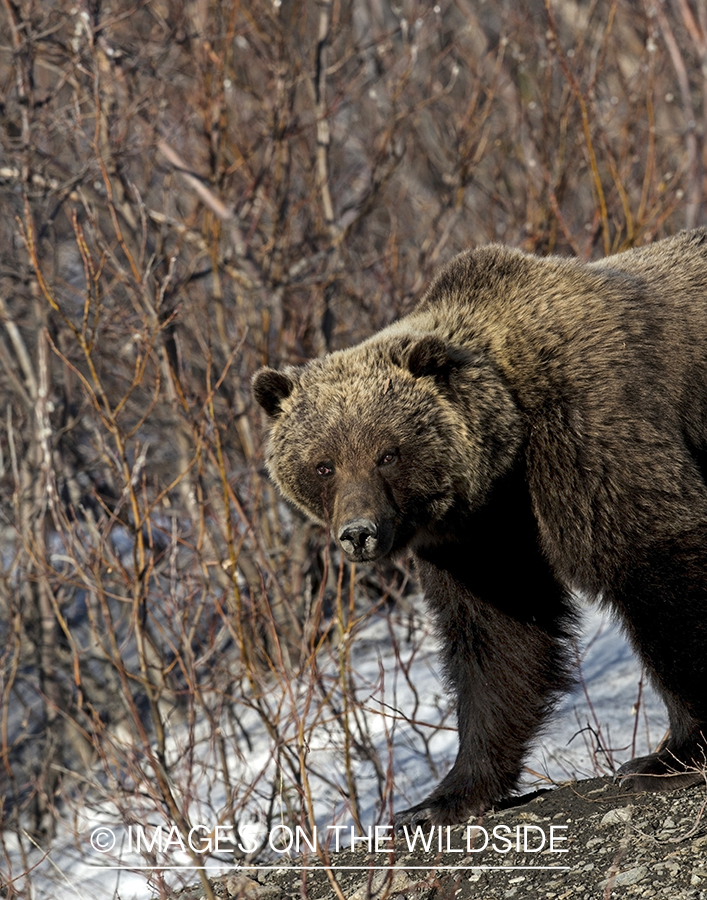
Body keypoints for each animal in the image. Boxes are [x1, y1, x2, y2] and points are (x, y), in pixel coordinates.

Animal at [252, 228, 707, 828]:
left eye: (387, 454)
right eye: (323, 464)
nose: (359, 532)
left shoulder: (590, 429)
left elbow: (655, 556)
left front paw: (668, 756)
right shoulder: (480, 536)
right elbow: (498, 638)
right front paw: (440, 799)